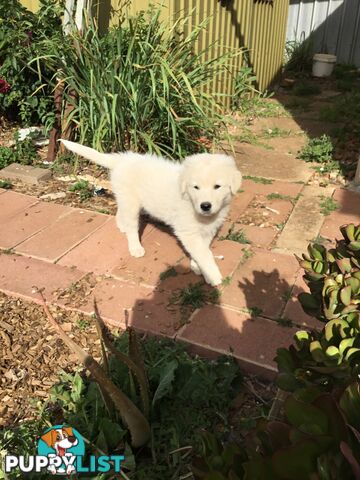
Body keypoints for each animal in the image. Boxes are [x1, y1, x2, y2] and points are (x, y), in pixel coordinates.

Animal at [60, 141, 240, 286]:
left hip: (125, 197)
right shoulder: (187, 231)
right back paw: (135, 247)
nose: (205, 206)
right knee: (132, 225)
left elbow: (203, 248)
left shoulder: (209, 229)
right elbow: (204, 253)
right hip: (131, 201)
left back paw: (122, 226)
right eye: (196, 187)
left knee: (121, 212)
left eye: (217, 186)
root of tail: (122, 159)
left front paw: (196, 266)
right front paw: (213, 276)